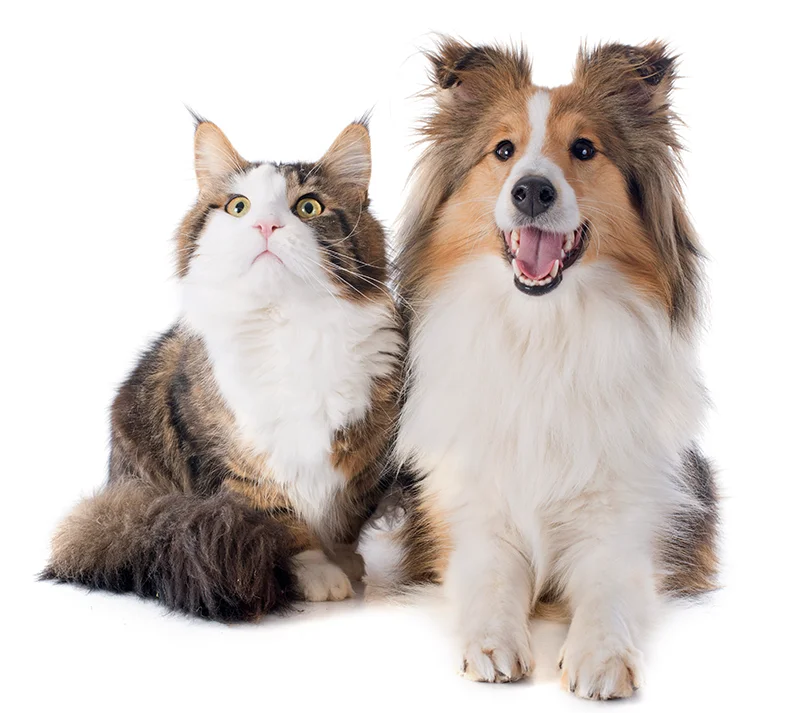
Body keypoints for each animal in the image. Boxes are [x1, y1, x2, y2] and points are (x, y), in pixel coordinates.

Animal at [40, 115, 404, 616]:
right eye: (238, 206)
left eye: (309, 207)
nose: (267, 225)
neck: (288, 325)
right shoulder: (238, 465)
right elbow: (287, 525)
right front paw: (319, 573)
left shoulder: (367, 452)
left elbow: (348, 519)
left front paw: (346, 563)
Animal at [394, 36, 720, 700]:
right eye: (503, 150)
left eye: (585, 149)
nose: (532, 191)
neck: (543, 333)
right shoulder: (470, 512)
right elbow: (490, 577)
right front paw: (493, 642)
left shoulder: (626, 519)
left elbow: (610, 589)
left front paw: (600, 655)